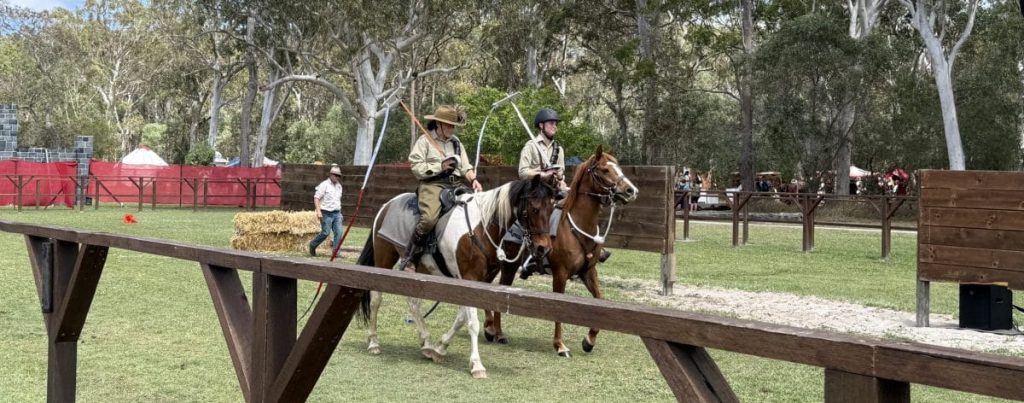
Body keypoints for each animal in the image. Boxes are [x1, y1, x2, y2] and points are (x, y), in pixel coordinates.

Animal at [357, 174, 557, 378]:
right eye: (534, 209)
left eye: (551, 209)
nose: (544, 248)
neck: (480, 228)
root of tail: (386, 205)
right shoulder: (469, 278)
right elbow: (472, 323)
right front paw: (477, 365)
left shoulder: (476, 282)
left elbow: (461, 318)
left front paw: (439, 348)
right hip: (384, 260)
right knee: (376, 299)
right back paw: (373, 342)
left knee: (413, 303)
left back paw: (426, 343)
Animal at [484, 145, 639, 357]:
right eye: (605, 170)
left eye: (618, 167)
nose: (631, 190)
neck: (575, 227)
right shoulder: (560, 274)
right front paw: (560, 345)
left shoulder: (588, 272)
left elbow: (599, 299)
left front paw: (589, 340)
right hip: (507, 267)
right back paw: (497, 333)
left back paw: (491, 329)